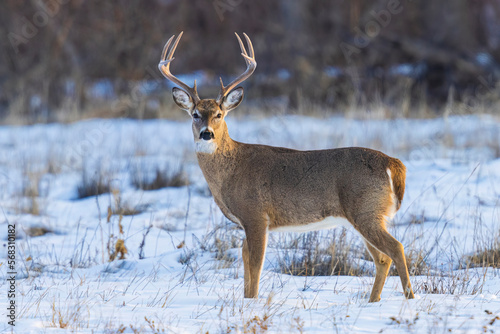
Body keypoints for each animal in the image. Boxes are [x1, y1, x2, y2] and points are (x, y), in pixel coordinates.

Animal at [159, 32, 414, 302]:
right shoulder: (247, 223)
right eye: (195, 114)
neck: (231, 171)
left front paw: (252, 303)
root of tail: (393, 163)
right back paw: (372, 302)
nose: (206, 134)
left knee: (396, 248)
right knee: (383, 259)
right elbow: (246, 265)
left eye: (219, 114)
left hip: (366, 210)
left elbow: (255, 267)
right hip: (364, 216)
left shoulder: (256, 215)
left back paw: (409, 298)